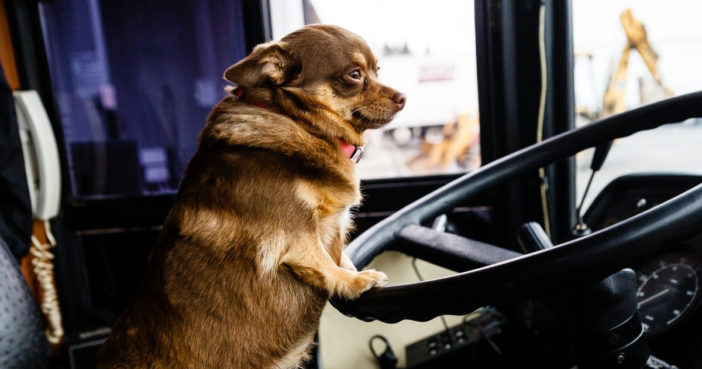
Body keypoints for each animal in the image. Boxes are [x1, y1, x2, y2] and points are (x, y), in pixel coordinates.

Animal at [97, 24, 408, 366]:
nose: (403, 97)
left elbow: (341, 256)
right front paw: (355, 282)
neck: (296, 119)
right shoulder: (297, 236)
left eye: (377, 70)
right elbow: (325, 265)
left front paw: (354, 270)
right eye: (354, 75)